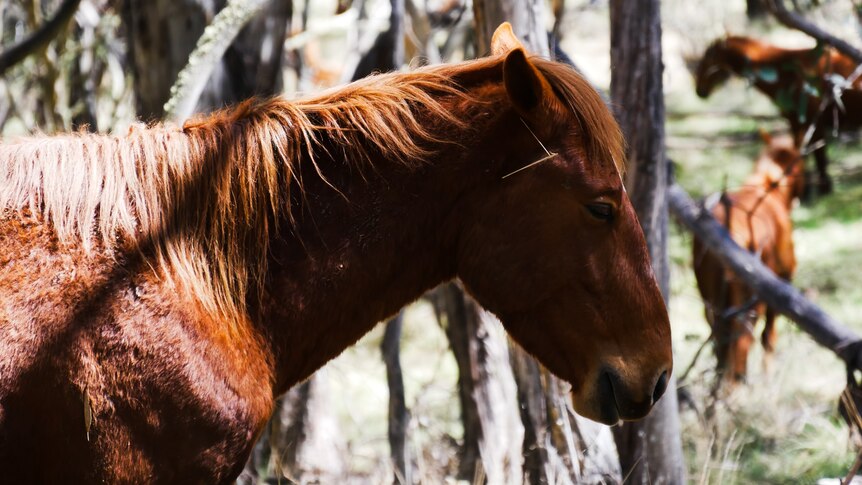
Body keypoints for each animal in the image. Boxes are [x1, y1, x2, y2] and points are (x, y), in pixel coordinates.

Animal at [692, 130, 808, 384]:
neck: (767, 188)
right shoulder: (782, 283)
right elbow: (769, 337)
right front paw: (768, 375)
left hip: (712, 302)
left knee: (721, 344)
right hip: (750, 304)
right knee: (742, 343)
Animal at [696, 35, 862, 196]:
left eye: (708, 61)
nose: (699, 91)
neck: (784, 72)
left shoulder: (813, 120)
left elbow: (819, 156)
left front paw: (823, 188)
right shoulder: (795, 122)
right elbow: (800, 153)